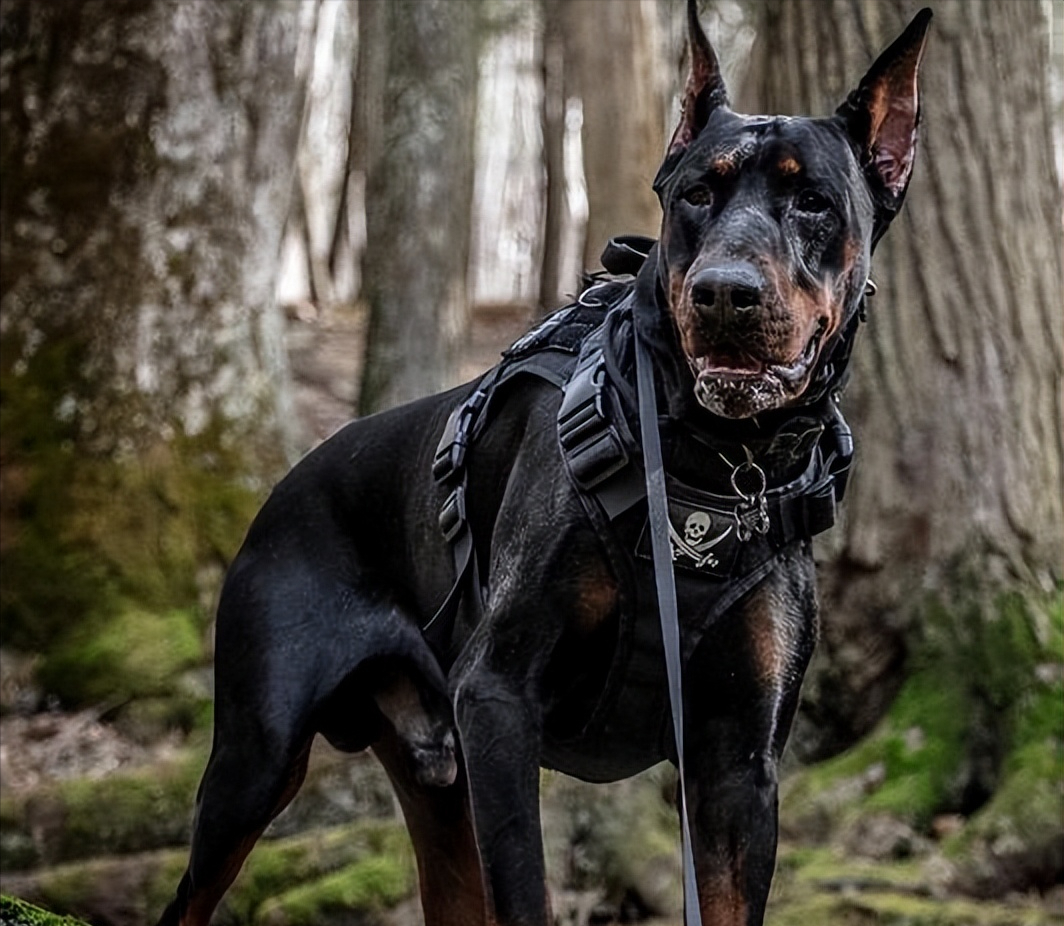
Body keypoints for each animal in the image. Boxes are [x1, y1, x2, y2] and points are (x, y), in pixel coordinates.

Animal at [159, 3, 932, 923]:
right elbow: (527, 892)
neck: (711, 466)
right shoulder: (497, 699)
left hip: (436, 782)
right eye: (696, 193)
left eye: (813, 200)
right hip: (259, 754)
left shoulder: (740, 764)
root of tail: (277, 492)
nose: (724, 291)